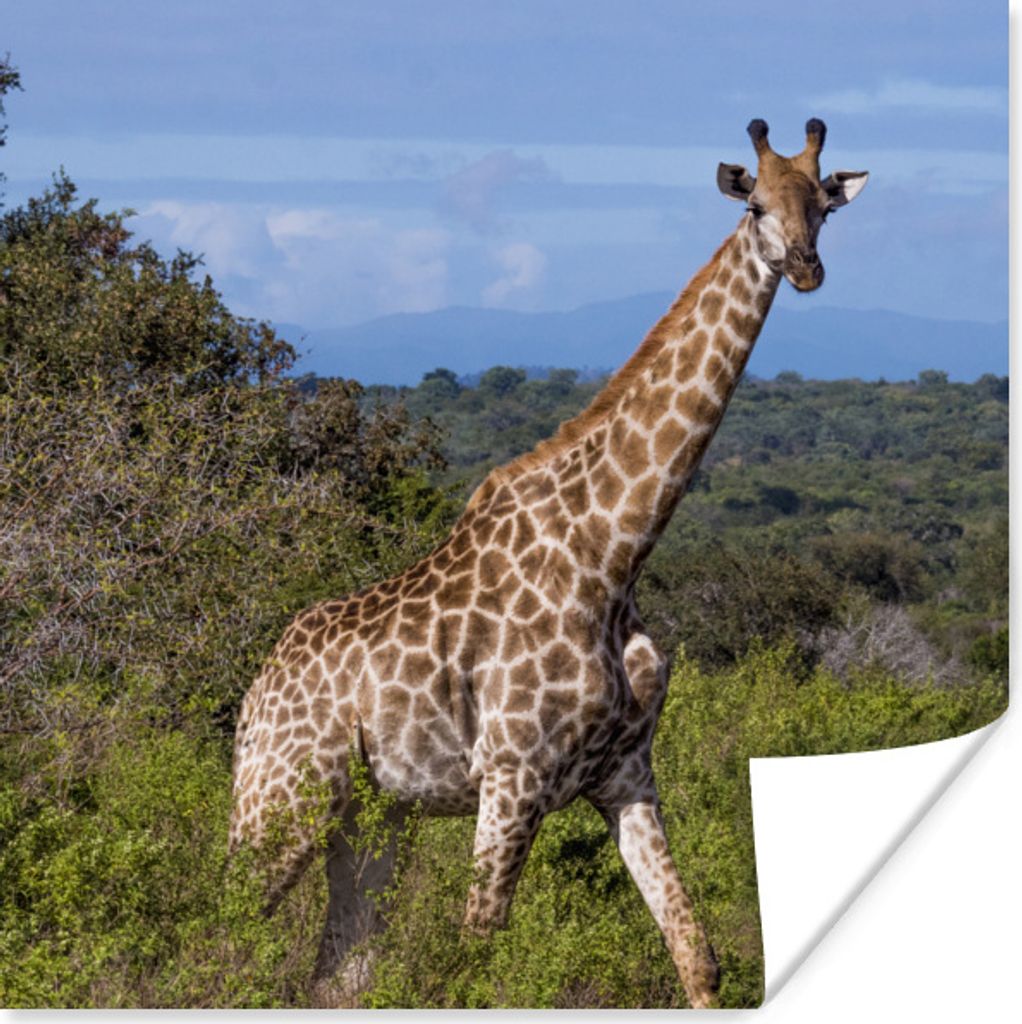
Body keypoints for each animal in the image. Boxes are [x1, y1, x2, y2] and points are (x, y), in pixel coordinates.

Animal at [229, 119, 868, 1008]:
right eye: (755, 206)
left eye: (824, 207)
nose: (806, 267)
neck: (615, 551)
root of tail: (253, 696)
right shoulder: (512, 774)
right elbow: (473, 958)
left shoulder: (627, 773)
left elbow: (695, 953)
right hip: (282, 802)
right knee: (219, 928)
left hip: (373, 817)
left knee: (338, 972)